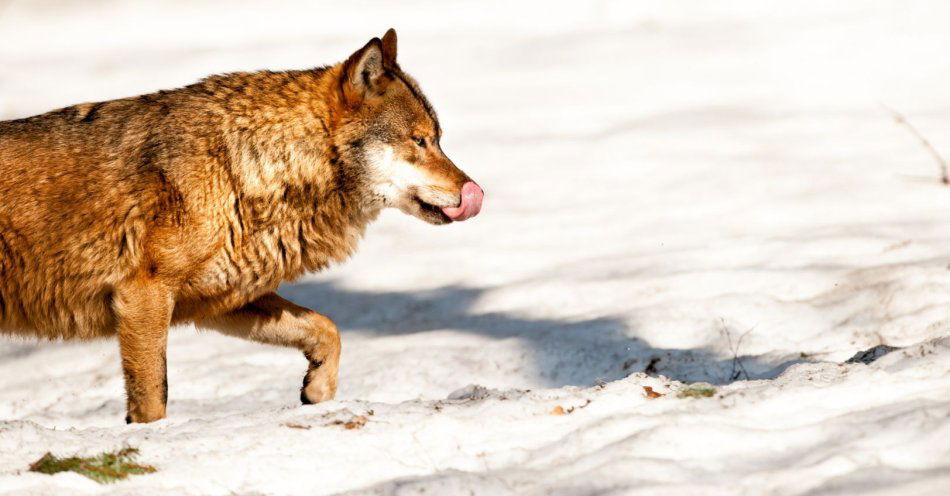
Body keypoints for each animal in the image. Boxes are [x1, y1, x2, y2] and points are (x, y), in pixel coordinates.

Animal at [0, 28, 484, 422]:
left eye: (438, 139)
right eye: (420, 141)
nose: (474, 191)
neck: (246, 167)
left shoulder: (217, 302)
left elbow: (327, 328)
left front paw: (317, 390)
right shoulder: (142, 296)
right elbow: (153, 397)